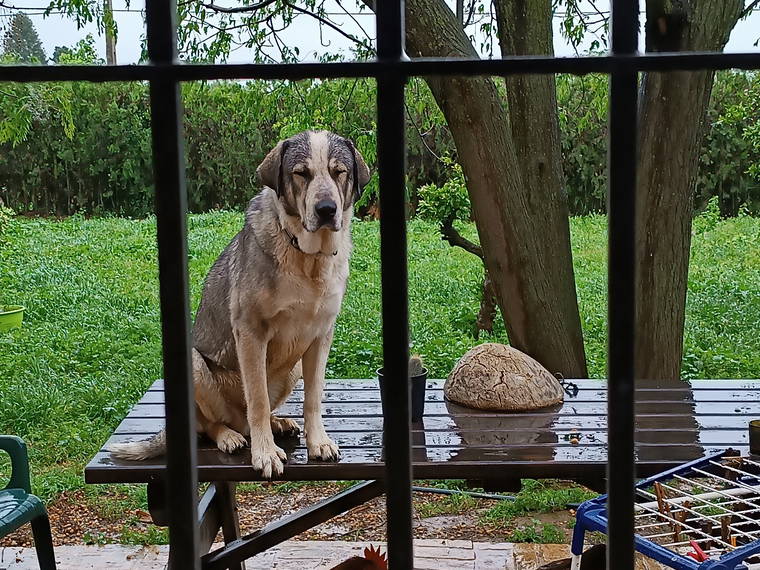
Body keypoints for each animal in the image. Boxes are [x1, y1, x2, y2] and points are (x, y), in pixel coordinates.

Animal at [112, 131, 372, 478]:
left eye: (339, 171)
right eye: (301, 173)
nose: (327, 209)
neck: (306, 258)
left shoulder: (320, 336)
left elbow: (314, 396)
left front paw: (318, 441)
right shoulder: (251, 333)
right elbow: (257, 400)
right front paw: (265, 454)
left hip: (292, 369)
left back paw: (277, 424)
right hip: (194, 363)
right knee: (212, 423)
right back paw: (230, 437)